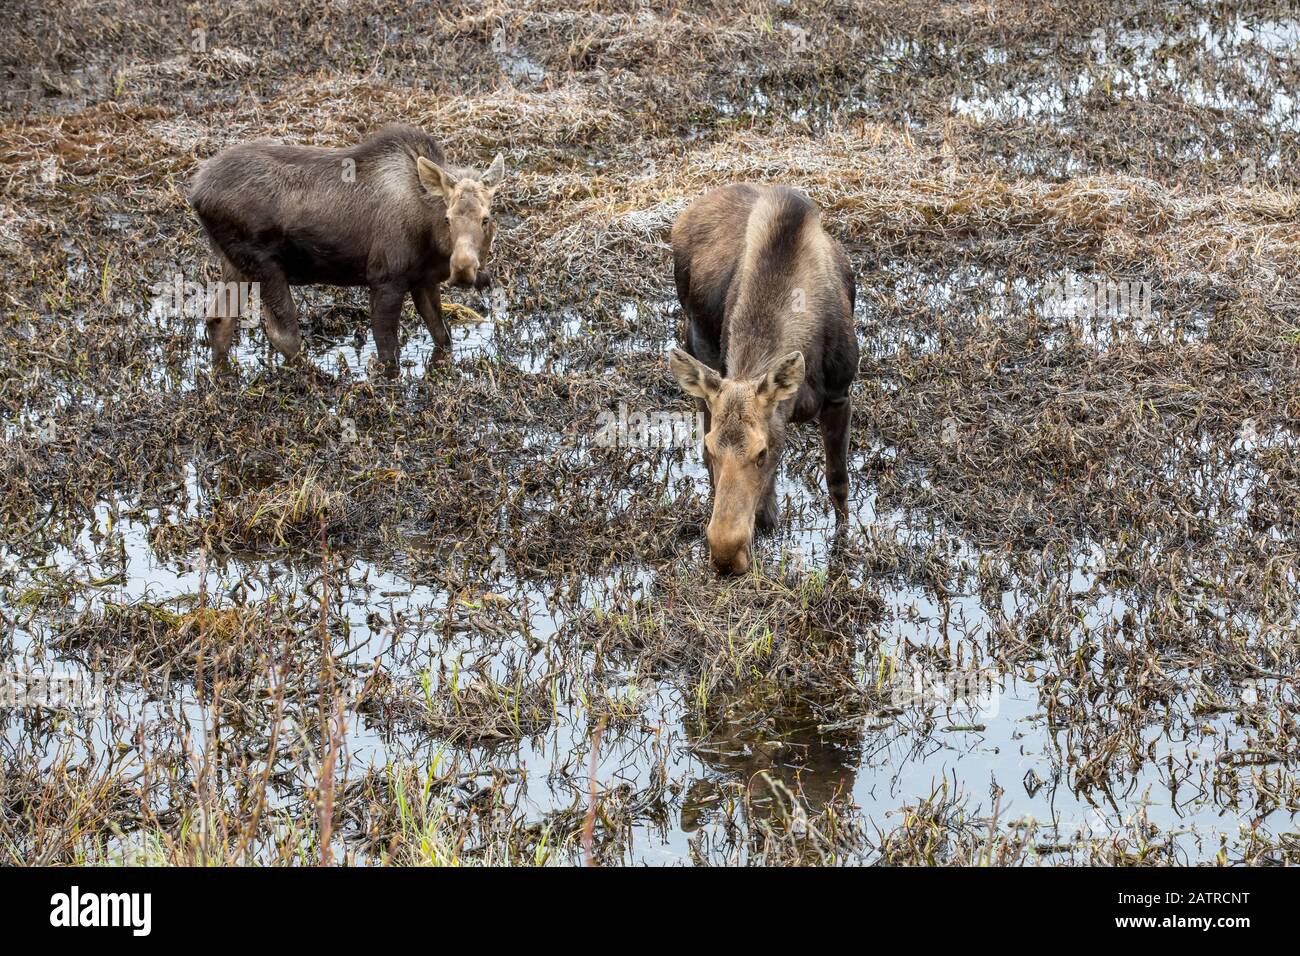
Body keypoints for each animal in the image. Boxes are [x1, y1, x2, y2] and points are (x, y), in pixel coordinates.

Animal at [188, 120, 501, 374]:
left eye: (486, 218)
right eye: (448, 218)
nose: (463, 268)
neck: (429, 236)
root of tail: (195, 193)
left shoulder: (422, 280)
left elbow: (443, 337)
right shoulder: (385, 278)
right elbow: (388, 352)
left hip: (235, 263)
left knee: (218, 319)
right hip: (264, 264)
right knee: (283, 335)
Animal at [670, 187, 863, 574]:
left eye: (761, 452)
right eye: (712, 449)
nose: (726, 557)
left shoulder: (840, 393)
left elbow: (838, 481)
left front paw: (842, 545)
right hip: (697, 351)